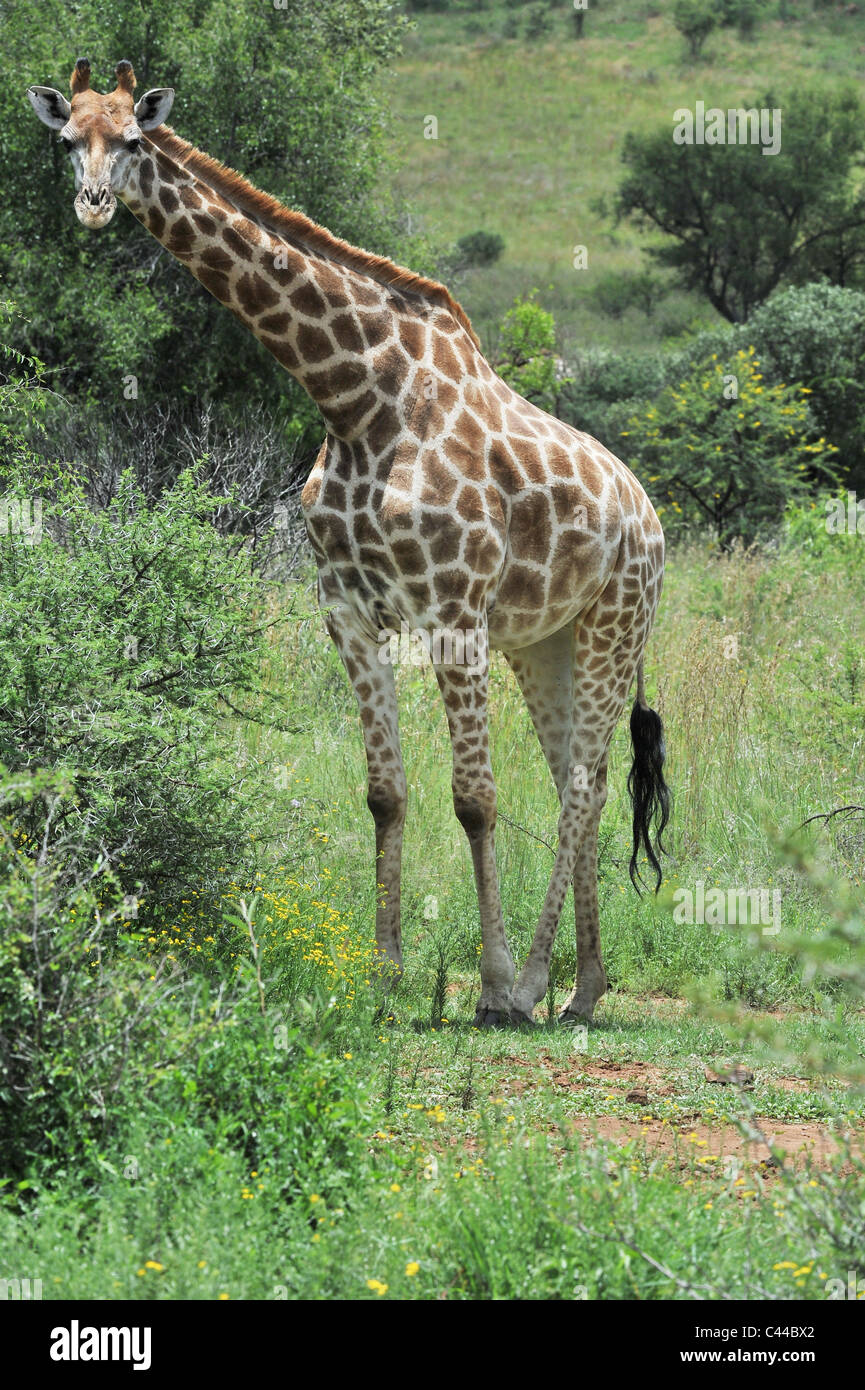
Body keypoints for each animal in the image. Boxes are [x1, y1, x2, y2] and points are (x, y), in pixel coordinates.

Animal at [28, 59, 670, 1028]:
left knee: (586, 785)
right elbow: (384, 794)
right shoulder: (348, 611)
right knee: (575, 783)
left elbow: (475, 800)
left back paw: (534, 987)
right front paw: (382, 978)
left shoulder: (452, 612)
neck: (356, 399)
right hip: (542, 641)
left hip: (612, 625)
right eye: (70, 140)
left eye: (133, 139)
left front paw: (487, 987)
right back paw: (578, 987)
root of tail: (650, 516)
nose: (94, 205)